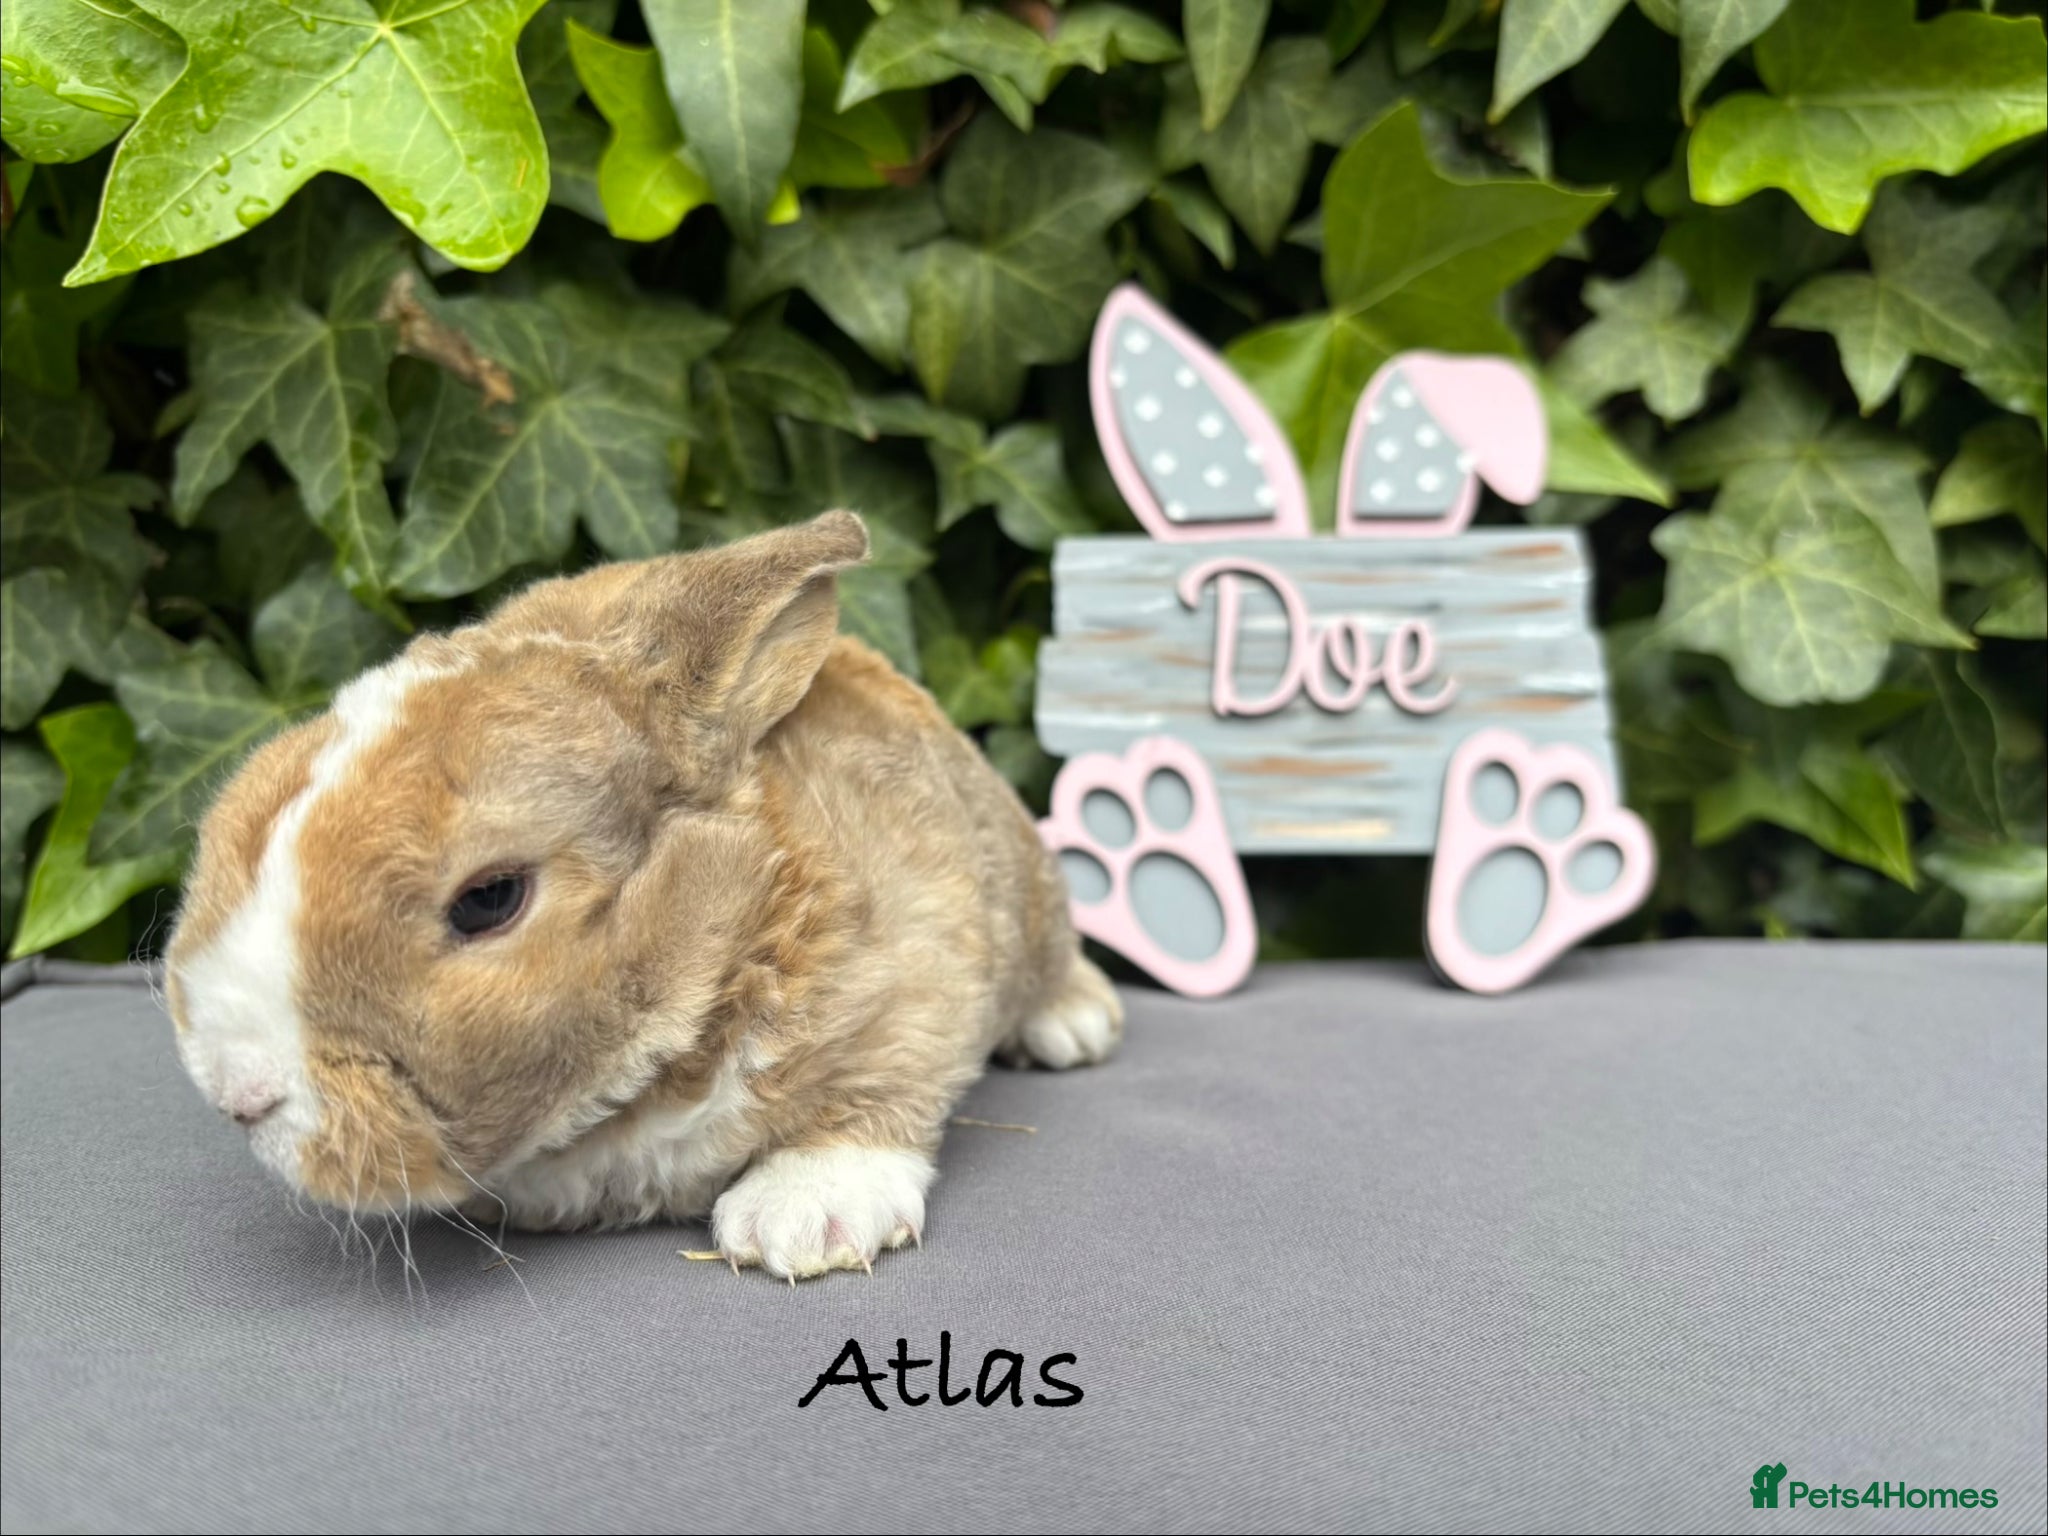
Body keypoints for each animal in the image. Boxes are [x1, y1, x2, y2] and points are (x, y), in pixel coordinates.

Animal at [163, 510, 1122, 1279]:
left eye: (490, 898)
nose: (236, 1094)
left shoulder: (917, 978)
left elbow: (876, 1092)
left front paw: (801, 1221)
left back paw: (1077, 1026)